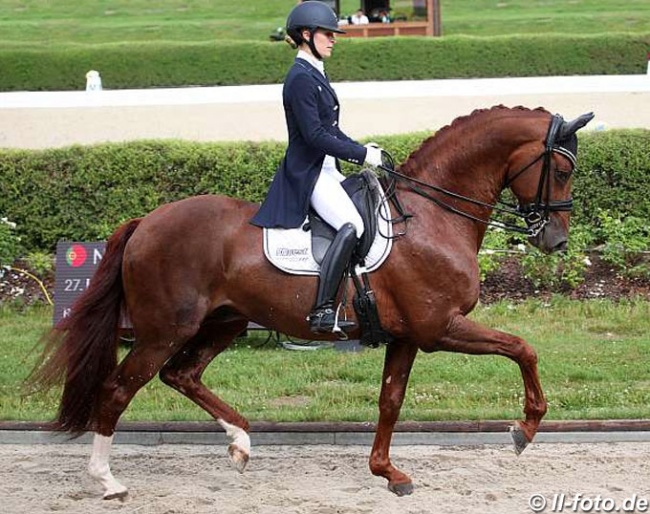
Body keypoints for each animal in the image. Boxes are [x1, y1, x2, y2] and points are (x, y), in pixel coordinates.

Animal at [30, 105, 592, 496]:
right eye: (563, 171)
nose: (556, 241)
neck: (431, 215)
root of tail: (146, 220)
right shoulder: (440, 327)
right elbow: (522, 348)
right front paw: (525, 428)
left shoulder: (408, 336)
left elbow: (390, 400)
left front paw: (387, 472)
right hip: (164, 330)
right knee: (118, 389)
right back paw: (108, 481)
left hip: (224, 322)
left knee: (181, 375)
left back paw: (240, 442)